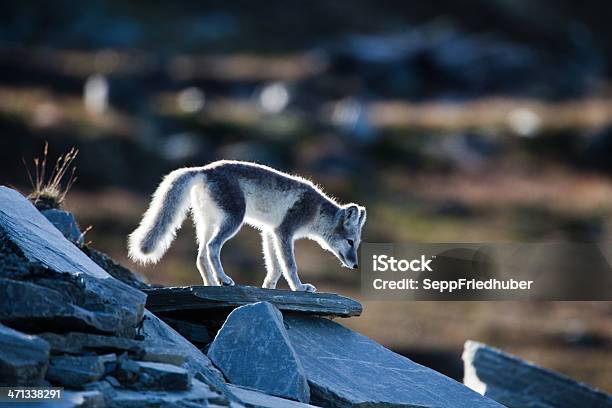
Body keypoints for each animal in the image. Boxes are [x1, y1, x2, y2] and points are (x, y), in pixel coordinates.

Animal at [128, 159, 364, 290]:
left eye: (357, 243)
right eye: (350, 242)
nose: (355, 266)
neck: (316, 212)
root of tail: (206, 170)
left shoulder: (270, 232)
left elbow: (275, 267)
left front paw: (269, 287)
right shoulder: (284, 232)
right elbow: (289, 265)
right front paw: (299, 287)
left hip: (207, 224)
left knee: (201, 256)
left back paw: (212, 284)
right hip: (234, 220)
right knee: (212, 247)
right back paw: (223, 279)